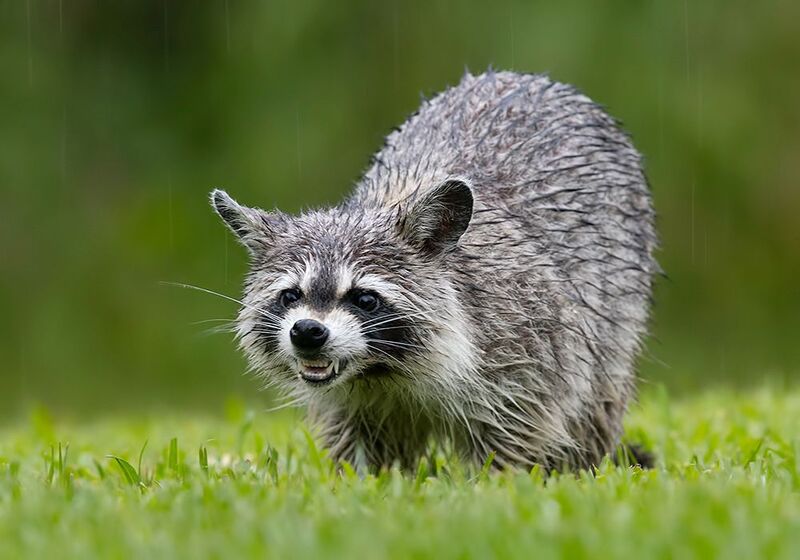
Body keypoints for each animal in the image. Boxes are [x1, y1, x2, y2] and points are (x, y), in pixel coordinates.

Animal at [211, 70, 658, 471]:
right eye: (291, 295)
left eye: (365, 298)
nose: (306, 332)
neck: (379, 370)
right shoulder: (352, 398)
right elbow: (360, 442)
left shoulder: (527, 338)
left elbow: (518, 423)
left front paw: (496, 481)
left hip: (617, 306)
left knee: (597, 396)